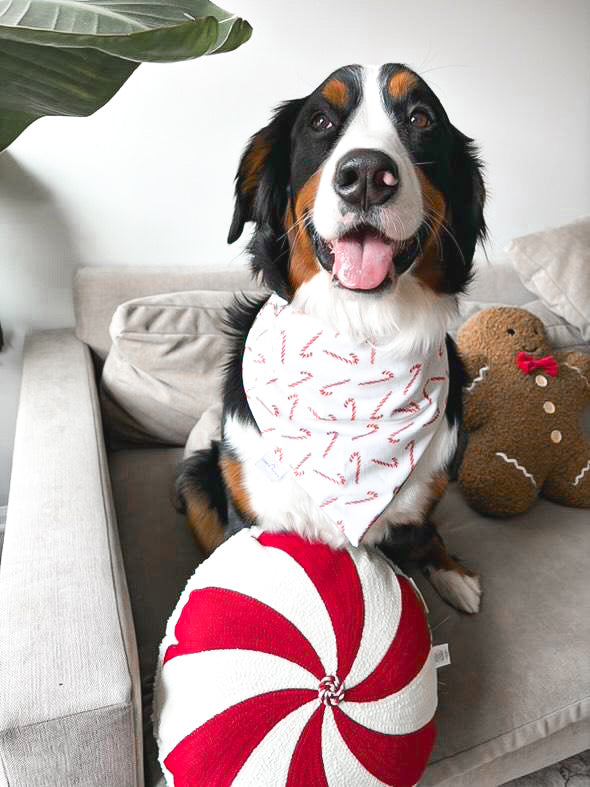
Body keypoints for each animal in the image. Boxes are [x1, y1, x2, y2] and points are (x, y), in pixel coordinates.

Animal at [175, 63, 486, 616]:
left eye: (421, 118)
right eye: (320, 121)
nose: (366, 175)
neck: (362, 336)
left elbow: (423, 529)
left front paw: (447, 568)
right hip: (195, 476)